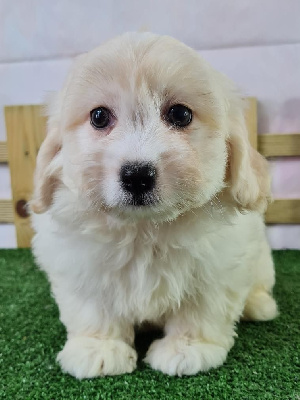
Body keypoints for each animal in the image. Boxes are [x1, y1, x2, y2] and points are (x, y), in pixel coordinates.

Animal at [31, 31, 278, 378]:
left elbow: (201, 309)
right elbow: (93, 308)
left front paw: (188, 348)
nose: (137, 175)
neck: (144, 228)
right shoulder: (81, 264)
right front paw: (98, 348)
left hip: (261, 262)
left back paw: (259, 305)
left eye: (180, 114)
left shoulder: (218, 267)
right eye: (99, 116)